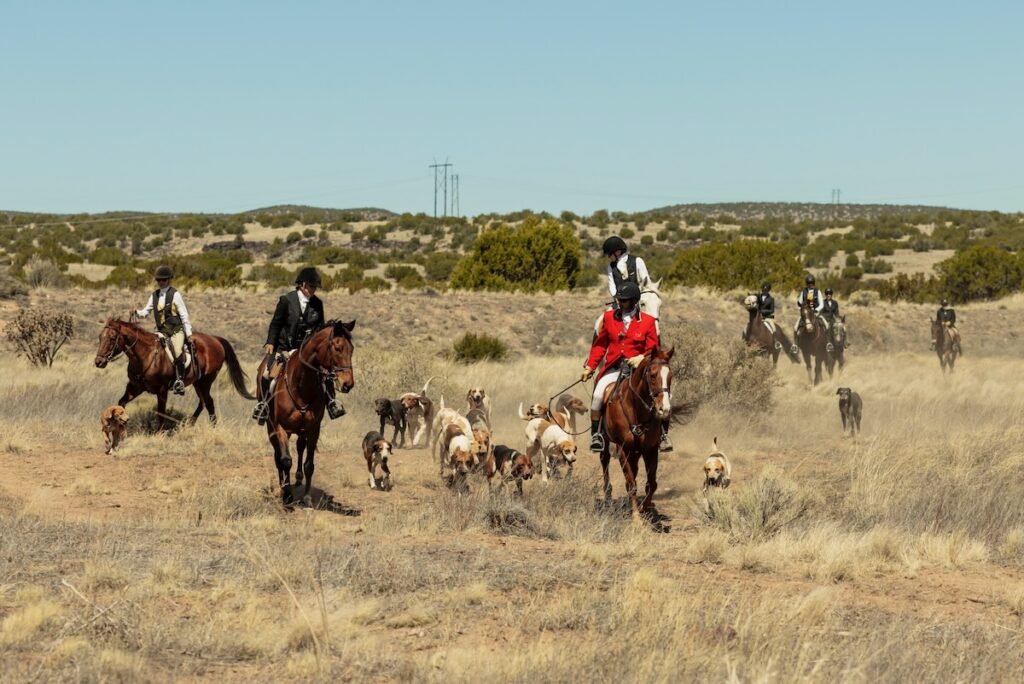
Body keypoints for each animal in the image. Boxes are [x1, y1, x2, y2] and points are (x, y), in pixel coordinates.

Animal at [95, 317, 254, 428]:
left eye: (112, 338)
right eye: (100, 337)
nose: (98, 362)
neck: (146, 355)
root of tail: (215, 339)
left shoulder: (162, 390)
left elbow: (161, 412)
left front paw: (159, 433)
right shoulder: (135, 387)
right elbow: (121, 404)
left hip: (205, 382)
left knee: (209, 403)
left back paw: (212, 427)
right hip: (197, 383)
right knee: (203, 402)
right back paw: (189, 424)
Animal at [260, 317, 356, 505]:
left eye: (352, 349)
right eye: (337, 348)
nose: (348, 383)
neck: (301, 386)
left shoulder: (313, 430)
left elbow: (309, 465)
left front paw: (306, 497)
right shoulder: (280, 428)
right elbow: (285, 460)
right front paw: (287, 496)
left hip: (301, 429)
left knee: (299, 447)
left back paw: (297, 479)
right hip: (271, 427)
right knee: (278, 456)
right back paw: (284, 487)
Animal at [598, 344, 675, 520]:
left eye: (670, 376)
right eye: (652, 376)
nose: (665, 410)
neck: (636, 409)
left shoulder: (650, 449)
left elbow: (652, 484)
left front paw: (645, 509)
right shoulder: (622, 449)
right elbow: (631, 483)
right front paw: (636, 518)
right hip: (607, 442)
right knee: (605, 460)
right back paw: (608, 496)